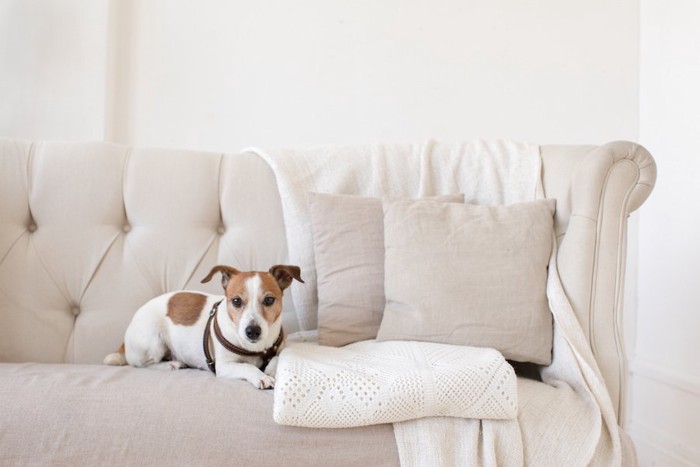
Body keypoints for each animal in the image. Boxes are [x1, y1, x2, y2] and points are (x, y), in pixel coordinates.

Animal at [104, 266, 304, 390]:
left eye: (269, 300)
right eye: (236, 301)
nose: (252, 331)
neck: (256, 349)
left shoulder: (278, 348)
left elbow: (277, 357)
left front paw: (269, 369)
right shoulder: (224, 367)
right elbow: (247, 367)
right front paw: (261, 376)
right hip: (153, 343)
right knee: (140, 364)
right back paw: (171, 364)